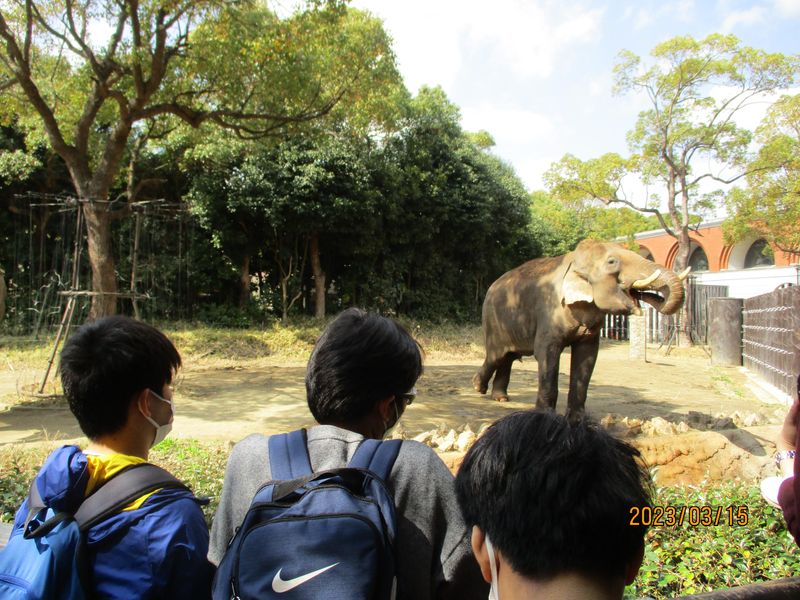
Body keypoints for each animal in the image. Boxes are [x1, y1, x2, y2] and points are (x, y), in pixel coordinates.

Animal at [472, 239, 692, 422]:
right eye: (612, 262)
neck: (575, 262)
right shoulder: (549, 312)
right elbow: (546, 353)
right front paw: (545, 415)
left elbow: (587, 356)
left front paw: (578, 419)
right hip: (492, 320)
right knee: (496, 355)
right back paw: (478, 386)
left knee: (507, 356)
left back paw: (500, 398)